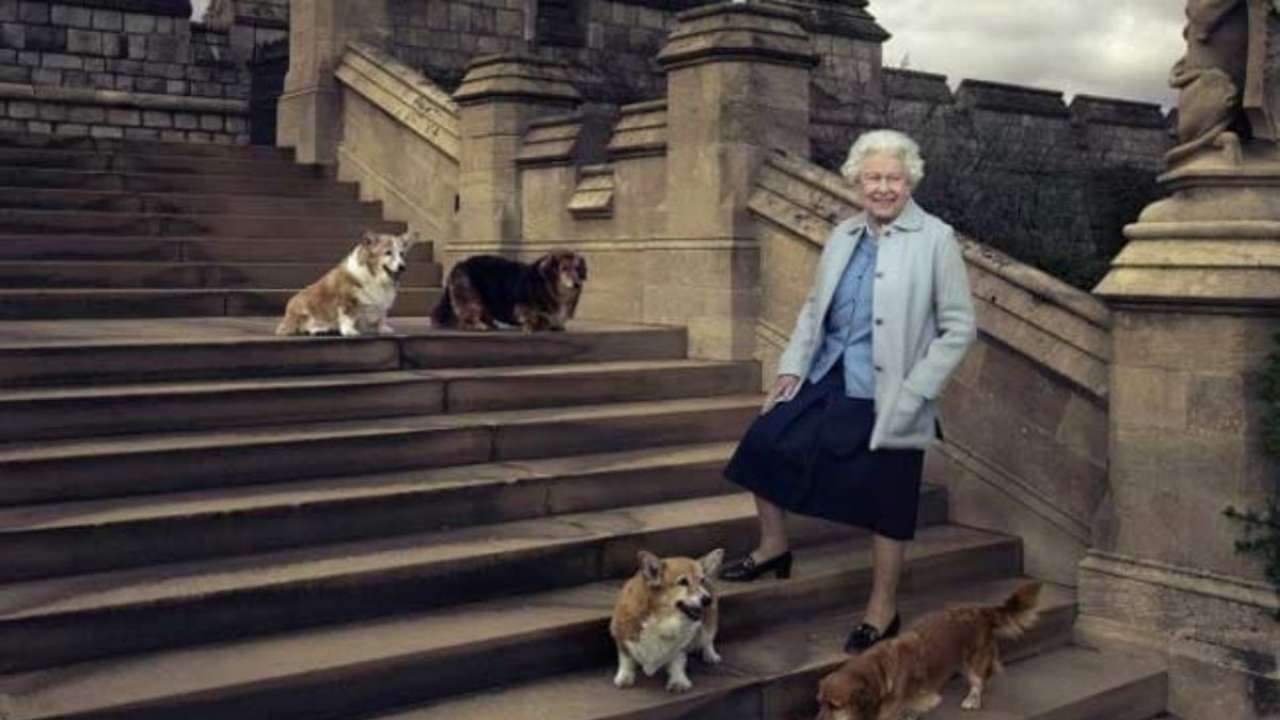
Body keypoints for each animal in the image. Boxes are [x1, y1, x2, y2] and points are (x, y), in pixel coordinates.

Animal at [430, 249, 588, 330]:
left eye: (577, 268)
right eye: (564, 268)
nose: (577, 284)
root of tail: (460, 264)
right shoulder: (522, 307)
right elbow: (539, 317)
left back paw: (492, 324)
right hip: (472, 299)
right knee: (465, 320)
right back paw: (479, 325)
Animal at [606, 548, 721, 691]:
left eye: (701, 581)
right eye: (683, 582)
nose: (707, 600)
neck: (662, 618)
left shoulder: (681, 645)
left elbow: (678, 661)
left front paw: (678, 681)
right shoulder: (622, 637)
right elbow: (626, 660)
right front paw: (624, 677)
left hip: (708, 623)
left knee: (708, 639)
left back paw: (711, 655)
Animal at [819, 579, 1039, 712]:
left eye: (835, 706)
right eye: (819, 703)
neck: (880, 667)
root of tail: (981, 610)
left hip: (974, 660)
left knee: (979, 681)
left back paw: (973, 699)